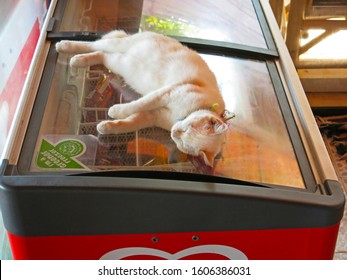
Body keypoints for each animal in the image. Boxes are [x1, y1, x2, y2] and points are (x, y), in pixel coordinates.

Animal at [56, 30, 230, 166]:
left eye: (182, 143)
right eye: (187, 129)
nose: (175, 132)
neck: (180, 116)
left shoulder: (152, 116)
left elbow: (130, 123)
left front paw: (107, 127)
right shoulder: (164, 94)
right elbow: (137, 105)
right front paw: (116, 111)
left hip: (119, 62)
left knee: (103, 55)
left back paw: (78, 60)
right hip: (118, 45)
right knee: (95, 45)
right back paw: (66, 47)